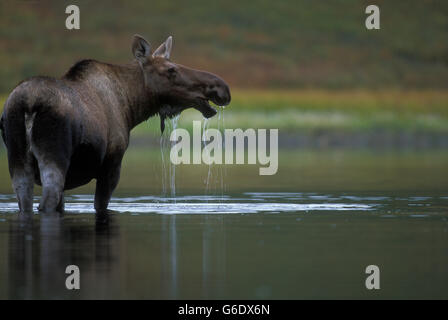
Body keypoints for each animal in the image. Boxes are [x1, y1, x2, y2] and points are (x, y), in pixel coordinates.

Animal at [0, 35, 231, 216]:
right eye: (171, 70)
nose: (222, 88)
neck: (132, 108)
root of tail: (29, 104)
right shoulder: (112, 163)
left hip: (17, 159)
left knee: (26, 202)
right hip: (55, 155)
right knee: (46, 201)